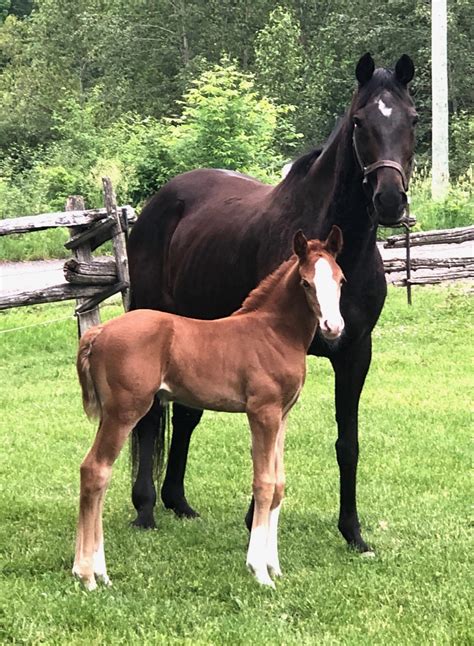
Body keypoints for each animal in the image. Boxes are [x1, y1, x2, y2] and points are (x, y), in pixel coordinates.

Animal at [73, 225, 344, 588]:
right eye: (305, 282)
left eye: (341, 280)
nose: (333, 327)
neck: (274, 333)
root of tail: (98, 332)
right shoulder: (263, 413)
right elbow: (263, 483)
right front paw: (259, 571)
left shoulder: (282, 415)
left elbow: (279, 485)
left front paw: (274, 566)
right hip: (125, 411)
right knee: (95, 470)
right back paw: (87, 575)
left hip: (113, 413)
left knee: (97, 473)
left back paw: (95, 571)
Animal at [127, 53, 418, 556]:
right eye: (359, 122)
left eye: (414, 119)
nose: (388, 199)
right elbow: (268, 441)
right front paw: (255, 523)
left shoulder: (356, 352)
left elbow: (348, 442)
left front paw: (353, 532)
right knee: (149, 419)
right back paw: (145, 508)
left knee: (185, 413)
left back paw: (177, 501)